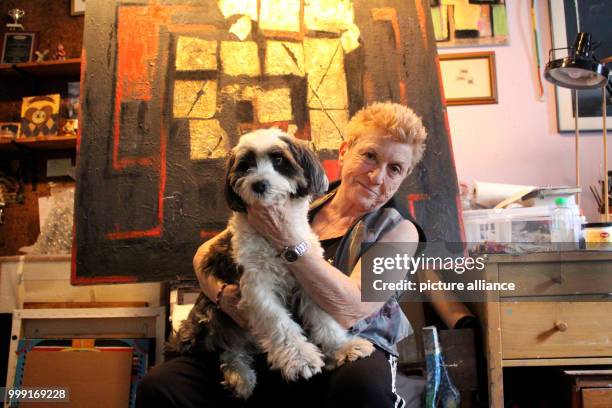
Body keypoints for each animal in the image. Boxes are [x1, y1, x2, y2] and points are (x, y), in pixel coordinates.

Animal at [169, 130, 378, 398]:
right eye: (245, 165)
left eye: (278, 159)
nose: (259, 184)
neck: (276, 240)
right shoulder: (257, 287)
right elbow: (280, 324)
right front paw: (300, 360)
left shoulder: (312, 281)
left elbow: (324, 319)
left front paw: (343, 347)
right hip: (210, 318)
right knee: (228, 347)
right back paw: (239, 375)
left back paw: (240, 377)